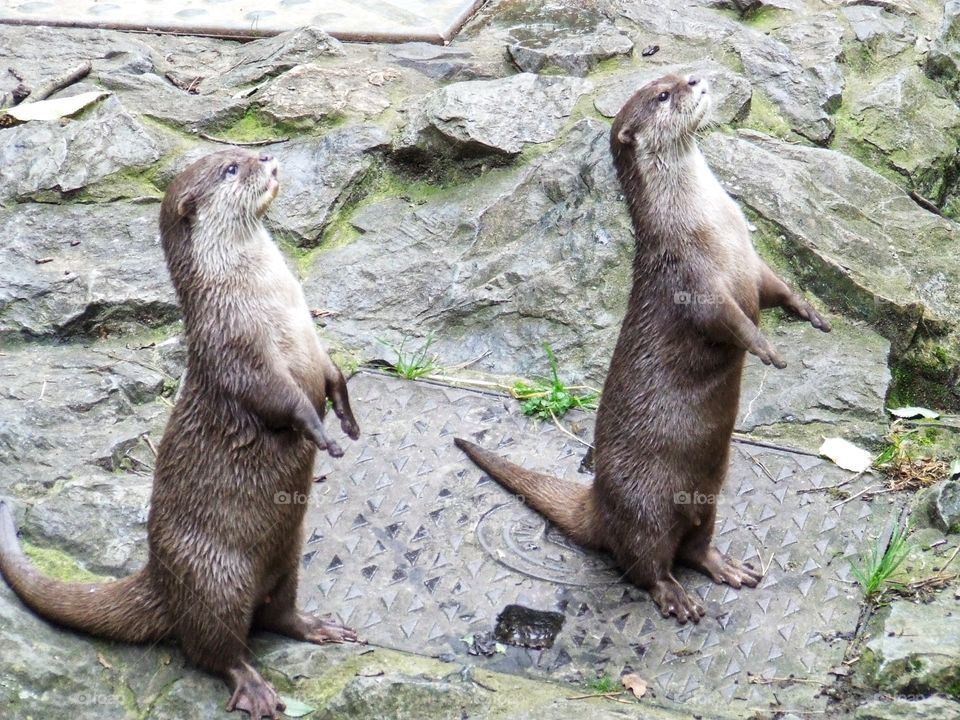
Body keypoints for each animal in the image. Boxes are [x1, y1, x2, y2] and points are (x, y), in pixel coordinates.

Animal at [0, 149, 360, 719]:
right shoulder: (235, 347)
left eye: (244, 155)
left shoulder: (310, 335)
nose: (266, 154)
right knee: (213, 649)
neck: (268, 297)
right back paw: (254, 688)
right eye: (231, 169)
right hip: (216, 580)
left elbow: (331, 372)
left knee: (278, 614)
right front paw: (322, 434)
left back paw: (317, 626)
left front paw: (347, 416)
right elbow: (281, 400)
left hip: (288, 554)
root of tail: (161, 578)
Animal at [456, 74, 830, 624]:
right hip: (644, 508)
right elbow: (729, 320)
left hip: (708, 499)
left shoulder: (751, 260)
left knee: (694, 547)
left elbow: (775, 288)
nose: (695, 77)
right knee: (645, 562)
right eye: (663, 95)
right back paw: (676, 597)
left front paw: (809, 311)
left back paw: (726, 566)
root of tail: (598, 502)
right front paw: (767, 349)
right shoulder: (692, 279)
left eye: (675, 78)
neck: (710, 221)